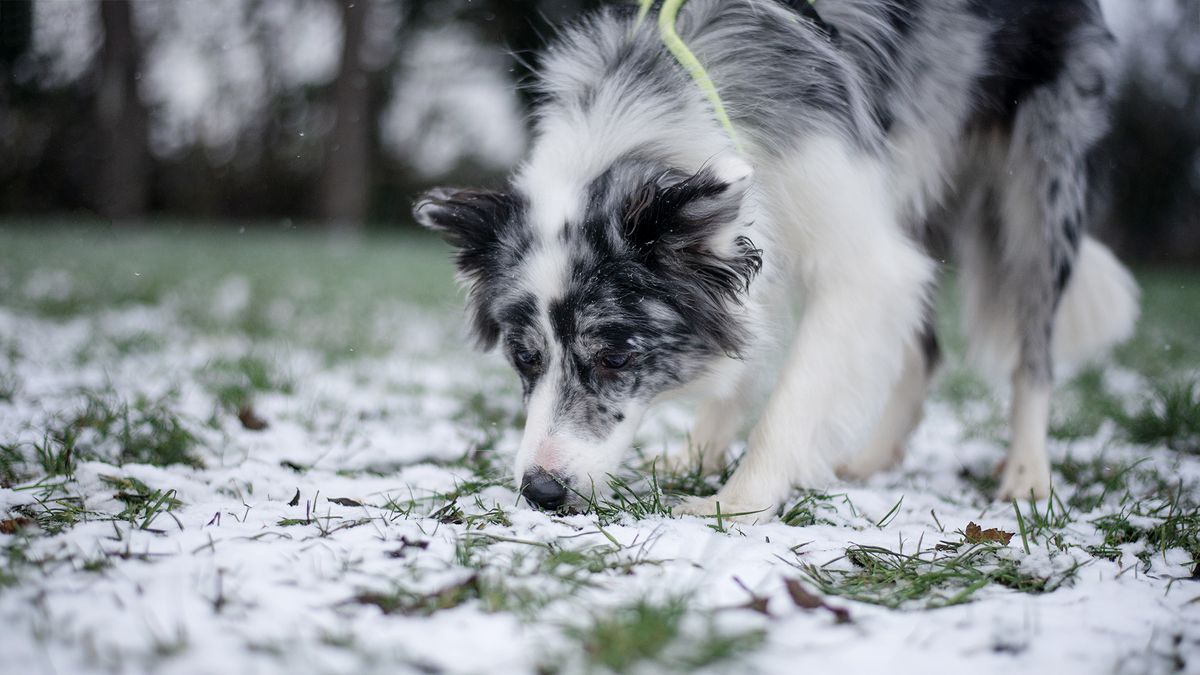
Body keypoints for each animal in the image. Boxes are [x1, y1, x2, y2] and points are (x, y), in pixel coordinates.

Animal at [417, 0, 1137, 514]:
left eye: (616, 358)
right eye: (523, 358)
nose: (540, 492)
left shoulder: (858, 259)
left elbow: (795, 395)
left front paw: (736, 501)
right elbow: (745, 348)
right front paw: (698, 454)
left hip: (1036, 189)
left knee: (1032, 352)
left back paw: (1028, 474)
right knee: (925, 347)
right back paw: (875, 456)